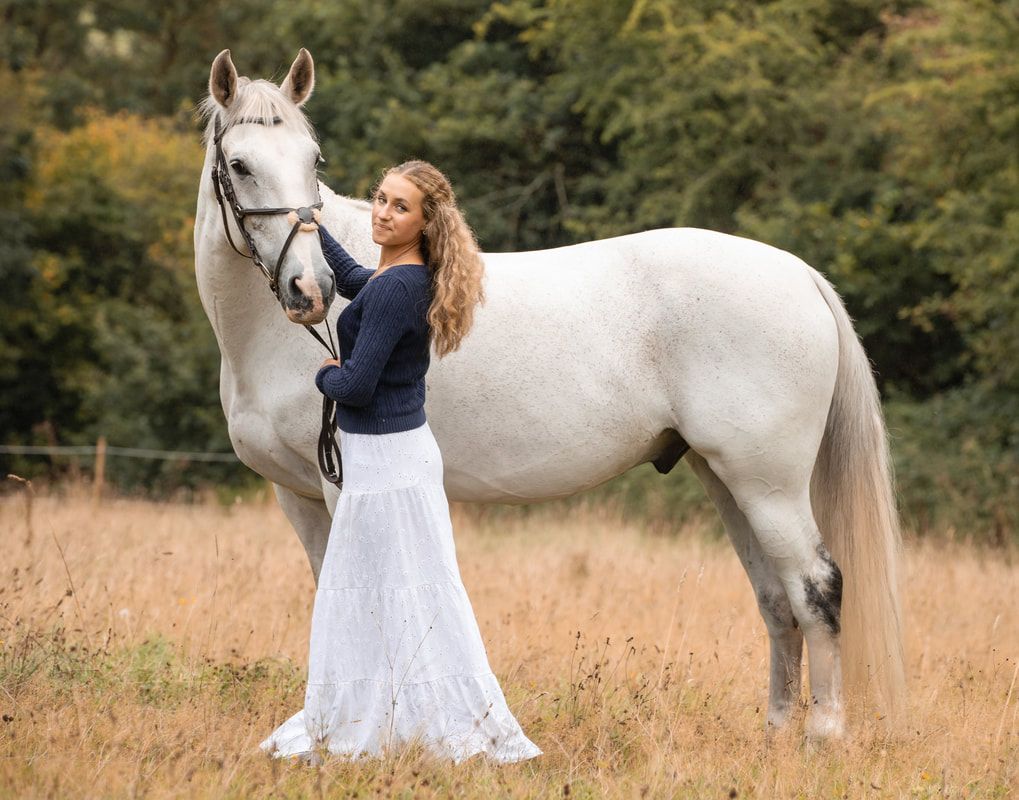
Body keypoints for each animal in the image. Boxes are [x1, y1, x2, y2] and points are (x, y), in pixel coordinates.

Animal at [194, 48, 905, 741]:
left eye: (312, 159)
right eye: (241, 165)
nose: (309, 289)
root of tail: (799, 273)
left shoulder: (345, 483)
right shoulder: (297, 494)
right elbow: (330, 596)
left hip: (770, 485)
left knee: (818, 588)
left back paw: (824, 733)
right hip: (728, 480)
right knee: (777, 599)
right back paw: (776, 733)